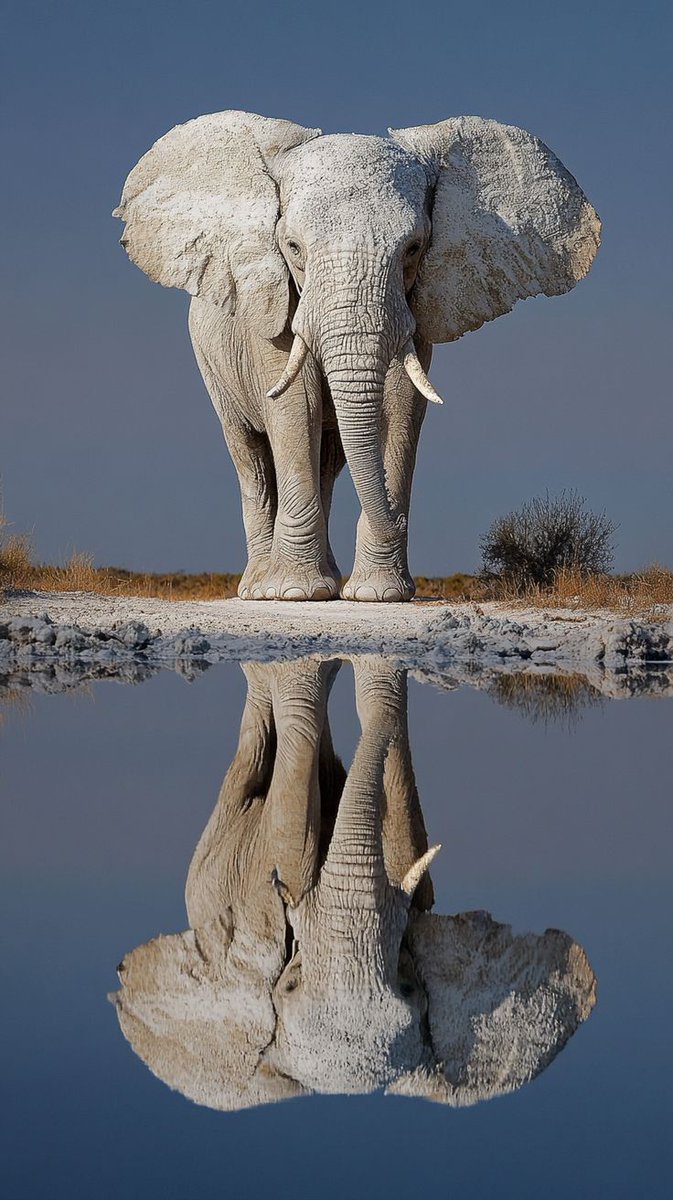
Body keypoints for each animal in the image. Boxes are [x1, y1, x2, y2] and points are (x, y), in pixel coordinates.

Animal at [114, 111, 601, 602]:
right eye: (293, 248)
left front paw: (378, 594)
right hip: (213, 369)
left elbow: (402, 406)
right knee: (251, 458)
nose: (397, 522)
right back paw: (258, 588)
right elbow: (295, 406)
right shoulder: (270, 310)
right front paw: (294, 595)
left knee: (328, 463)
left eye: (414, 248)